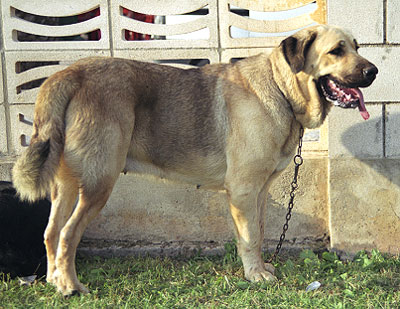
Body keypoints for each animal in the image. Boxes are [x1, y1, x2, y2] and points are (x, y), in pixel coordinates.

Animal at [10, 24, 376, 296]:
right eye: (336, 51)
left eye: (357, 46)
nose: (373, 71)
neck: (281, 88)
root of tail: (68, 74)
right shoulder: (243, 190)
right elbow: (250, 236)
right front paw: (255, 275)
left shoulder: (259, 192)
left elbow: (258, 232)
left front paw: (259, 267)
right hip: (98, 184)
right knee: (68, 234)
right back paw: (71, 286)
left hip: (67, 184)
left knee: (51, 232)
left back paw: (54, 280)